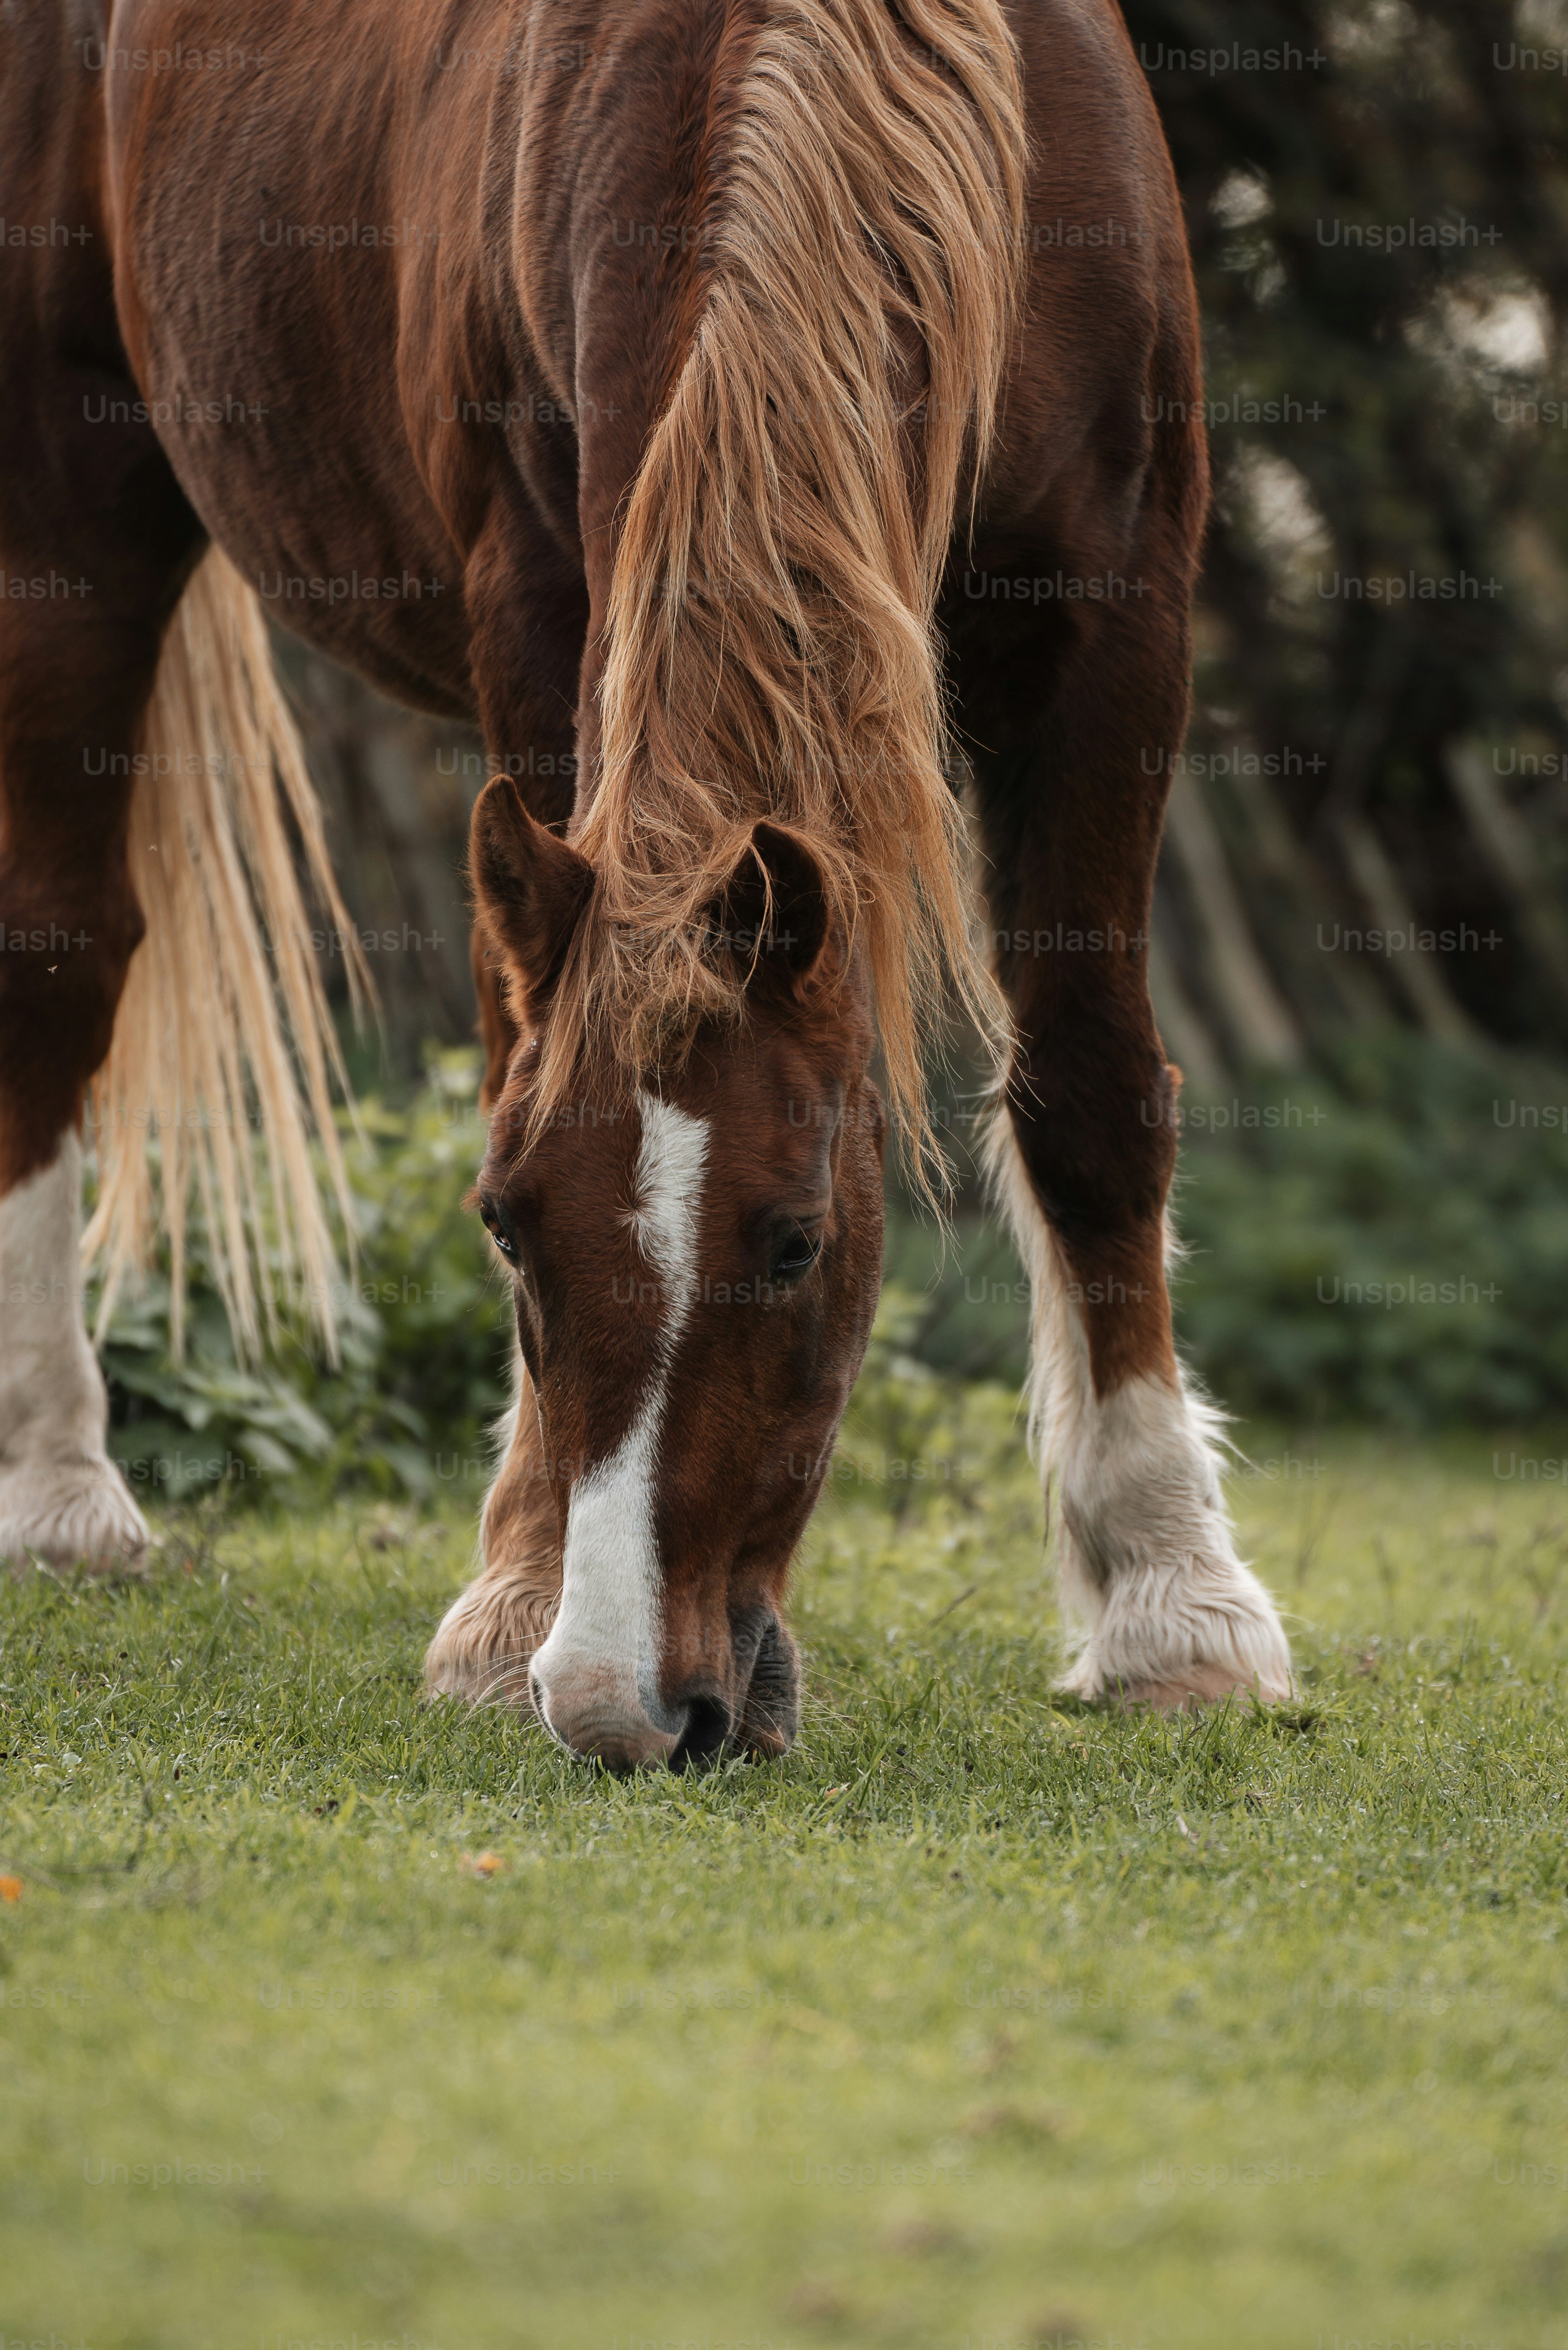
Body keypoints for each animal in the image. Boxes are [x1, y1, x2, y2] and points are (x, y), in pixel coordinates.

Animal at [0, 0, 1293, 1767]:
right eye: (505, 1226)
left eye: (798, 1242)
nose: (623, 1708)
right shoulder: (539, 601)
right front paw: (510, 1594)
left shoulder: (1122, 604)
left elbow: (1090, 1091)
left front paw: (1174, 1605)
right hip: (67, 504)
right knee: (59, 968)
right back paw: (61, 1494)